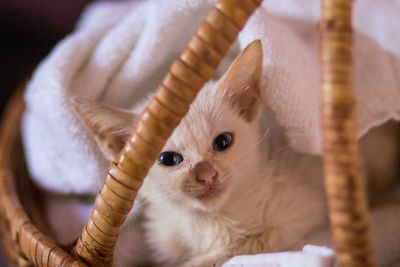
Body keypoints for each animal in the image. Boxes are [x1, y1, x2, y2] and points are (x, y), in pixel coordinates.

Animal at [73, 40, 330, 266]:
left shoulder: (302, 215)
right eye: (169, 159)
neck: (209, 220)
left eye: (223, 141)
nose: (207, 176)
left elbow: (249, 246)